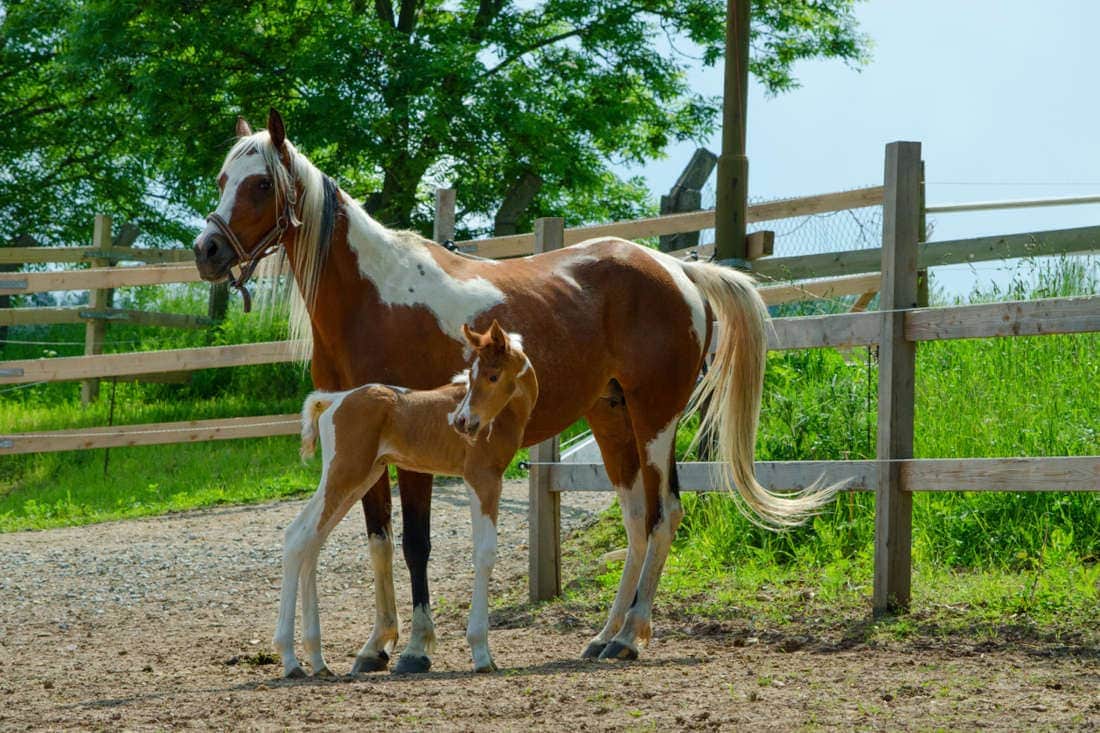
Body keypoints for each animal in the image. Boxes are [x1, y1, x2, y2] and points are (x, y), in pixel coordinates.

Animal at [276, 319, 537, 677]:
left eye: (493, 375)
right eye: (472, 376)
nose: (462, 422)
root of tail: (335, 400)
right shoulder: (482, 478)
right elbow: (485, 553)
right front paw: (482, 652)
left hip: (360, 477)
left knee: (308, 541)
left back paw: (316, 659)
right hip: (345, 474)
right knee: (298, 538)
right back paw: (291, 661)